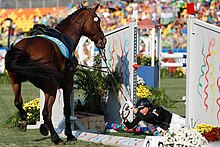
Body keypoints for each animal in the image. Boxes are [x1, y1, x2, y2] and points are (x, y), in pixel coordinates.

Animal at [4, 3, 105, 145]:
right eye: (98, 20)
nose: (103, 40)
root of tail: (25, 49)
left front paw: (43, 127)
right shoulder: (67, 83)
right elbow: (66, 110)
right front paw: (69, 134)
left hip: (16, 81)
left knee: (18, 102)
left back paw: (24, 121)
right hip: (51, 87)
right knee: (46, 112)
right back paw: (55, 137)